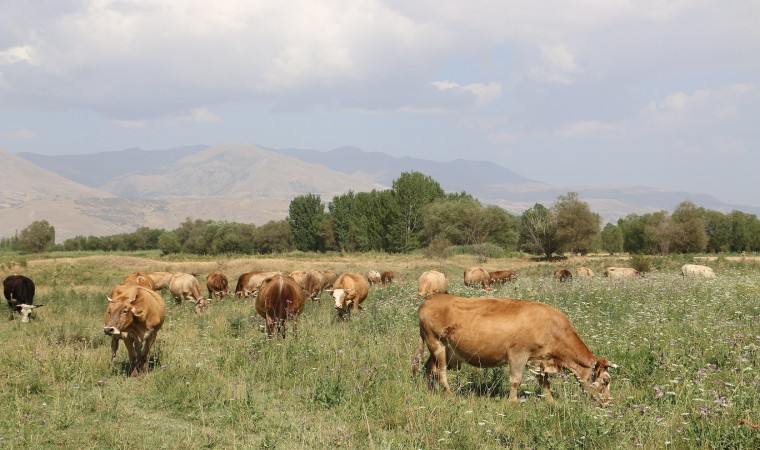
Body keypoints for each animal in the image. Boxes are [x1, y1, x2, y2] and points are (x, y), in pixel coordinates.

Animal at [410, 294, 616, 406]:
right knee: (440, 372)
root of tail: (432, 298)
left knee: (429, 369)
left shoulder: (540, 360)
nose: (608, 402)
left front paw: (551, 402)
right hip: (437, 344)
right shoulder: (518, 354)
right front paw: (513, 401)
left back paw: (430, 392)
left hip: (438, 349)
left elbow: (545, 383)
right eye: (605, 381)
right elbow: (515, 380)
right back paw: (450, 394)